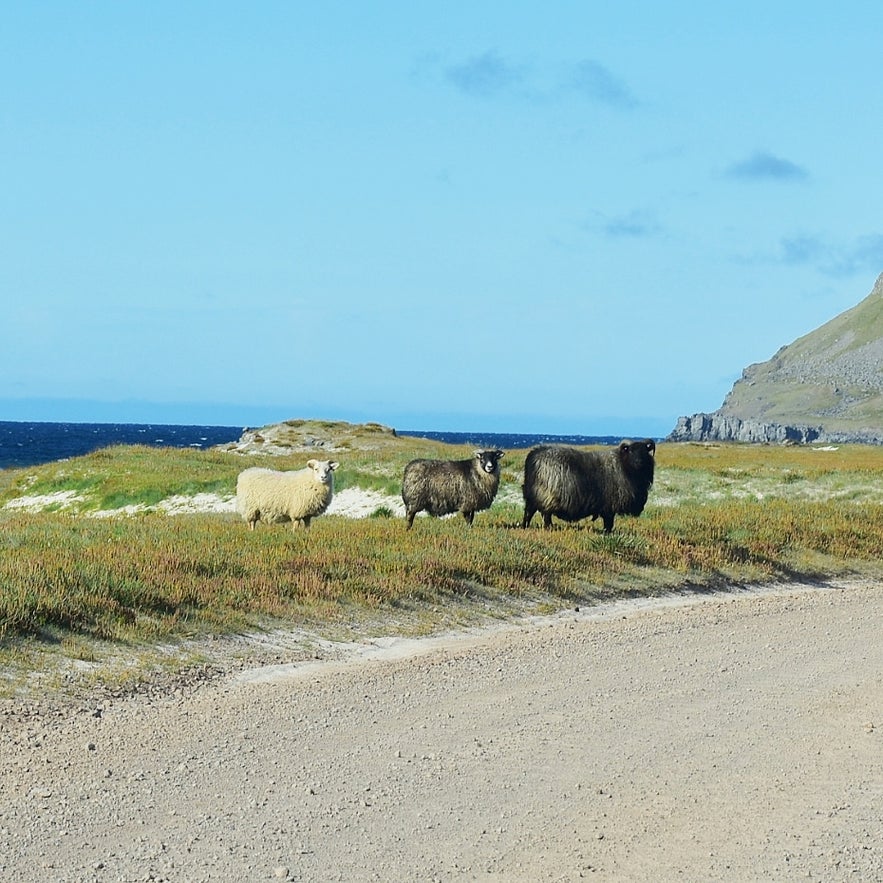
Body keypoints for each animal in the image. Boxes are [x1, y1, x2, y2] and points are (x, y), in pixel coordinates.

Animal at [516, 440, 656, 532]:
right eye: (630, 451)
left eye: (645, 451)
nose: (639, 462)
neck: (624, 466)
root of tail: (532, 455)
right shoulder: (609, 506)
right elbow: (609, 523)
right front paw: (607, 534)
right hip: (547, 495)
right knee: (546, 514)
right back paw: (548, 528)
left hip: (533, 494)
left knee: (529, 512)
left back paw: (525, 527)